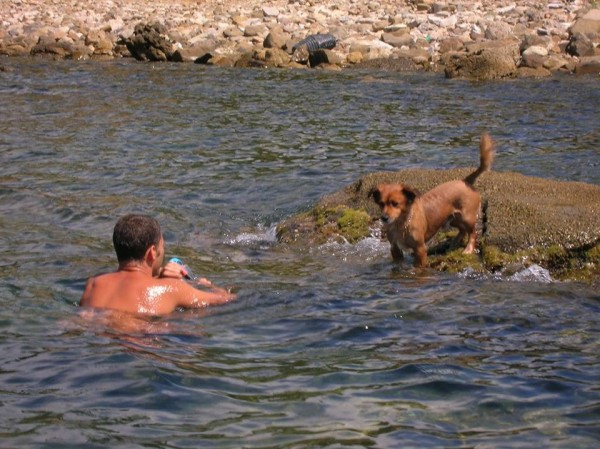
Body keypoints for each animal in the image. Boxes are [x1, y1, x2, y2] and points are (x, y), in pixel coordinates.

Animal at [372, 132, 494, 266]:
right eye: (381, 204)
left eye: (395, 203)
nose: (384, 218)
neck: (400, 224)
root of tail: (465, 181)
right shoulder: (395, 249)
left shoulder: (419, 249)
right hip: (452, 218)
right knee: (462, 230)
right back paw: (453, 243)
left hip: (467, 217)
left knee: (473, 233)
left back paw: (468, 249)